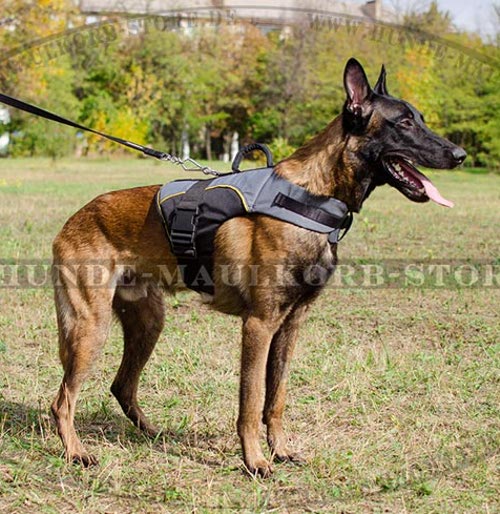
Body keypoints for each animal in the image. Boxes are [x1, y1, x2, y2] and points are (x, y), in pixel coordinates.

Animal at [49, 58, 464, 474]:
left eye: (421, 118)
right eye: (405, 122)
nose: (460, 155)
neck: (312, 196)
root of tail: (73, 219)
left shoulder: (289, 326)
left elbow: (275, 398)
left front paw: (280, 449)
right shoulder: (258, 325)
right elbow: (250, 401)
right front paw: (255, 460)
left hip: (148, 324)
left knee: (120, 385)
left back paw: (152, 433)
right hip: (92, 327)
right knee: (62, 400)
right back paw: (76, 451)